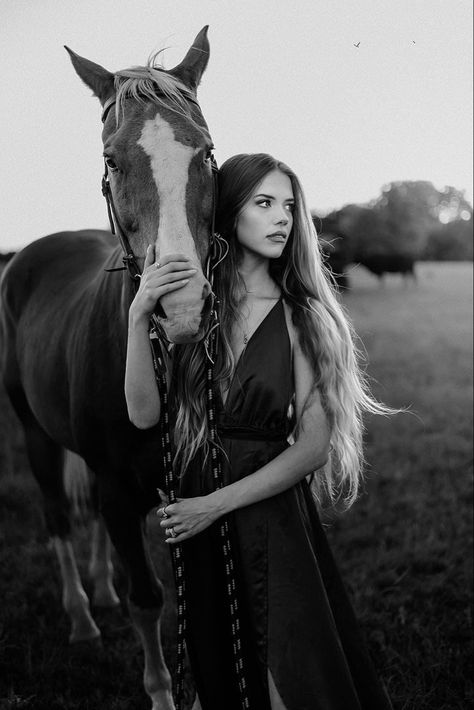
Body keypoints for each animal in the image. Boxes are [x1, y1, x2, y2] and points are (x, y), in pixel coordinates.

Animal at [0, 26, 215, 710]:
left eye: (205, 153)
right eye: (113, 161)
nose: (180, 305)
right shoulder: (120, 488)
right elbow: (150, 601)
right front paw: (163, 692)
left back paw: (100, 585)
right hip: (35, 433)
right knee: (58, 515)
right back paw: (81, 616)